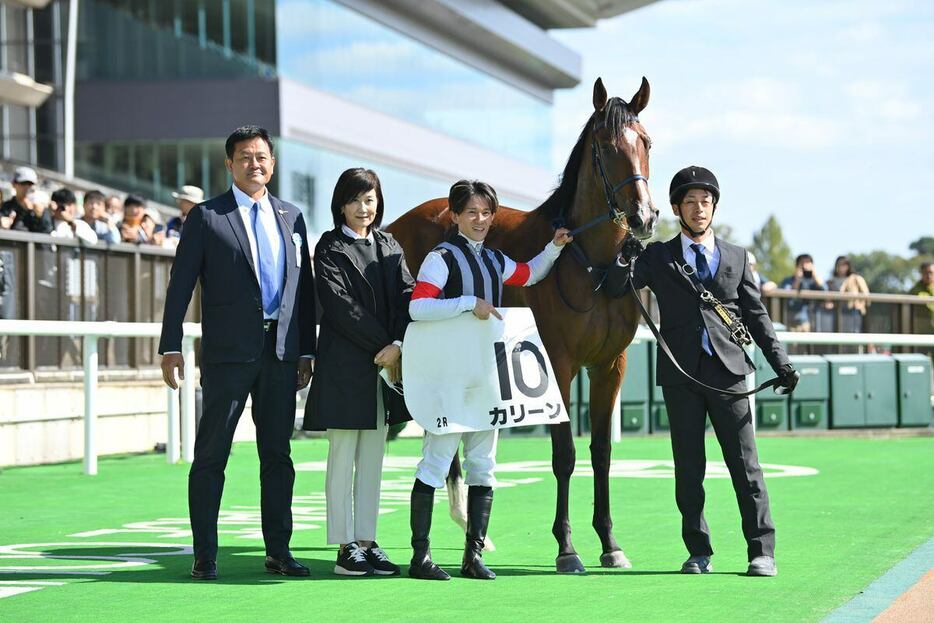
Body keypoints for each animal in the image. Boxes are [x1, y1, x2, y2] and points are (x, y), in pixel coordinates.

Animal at [388, 79, 660, 576]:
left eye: (645, 142)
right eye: (605, 146)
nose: (644, 218)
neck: (589, 265)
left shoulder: (610, 366)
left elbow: (602, 453)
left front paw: (610, 543)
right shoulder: (560, 366)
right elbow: (565, 455)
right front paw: (567, 548)